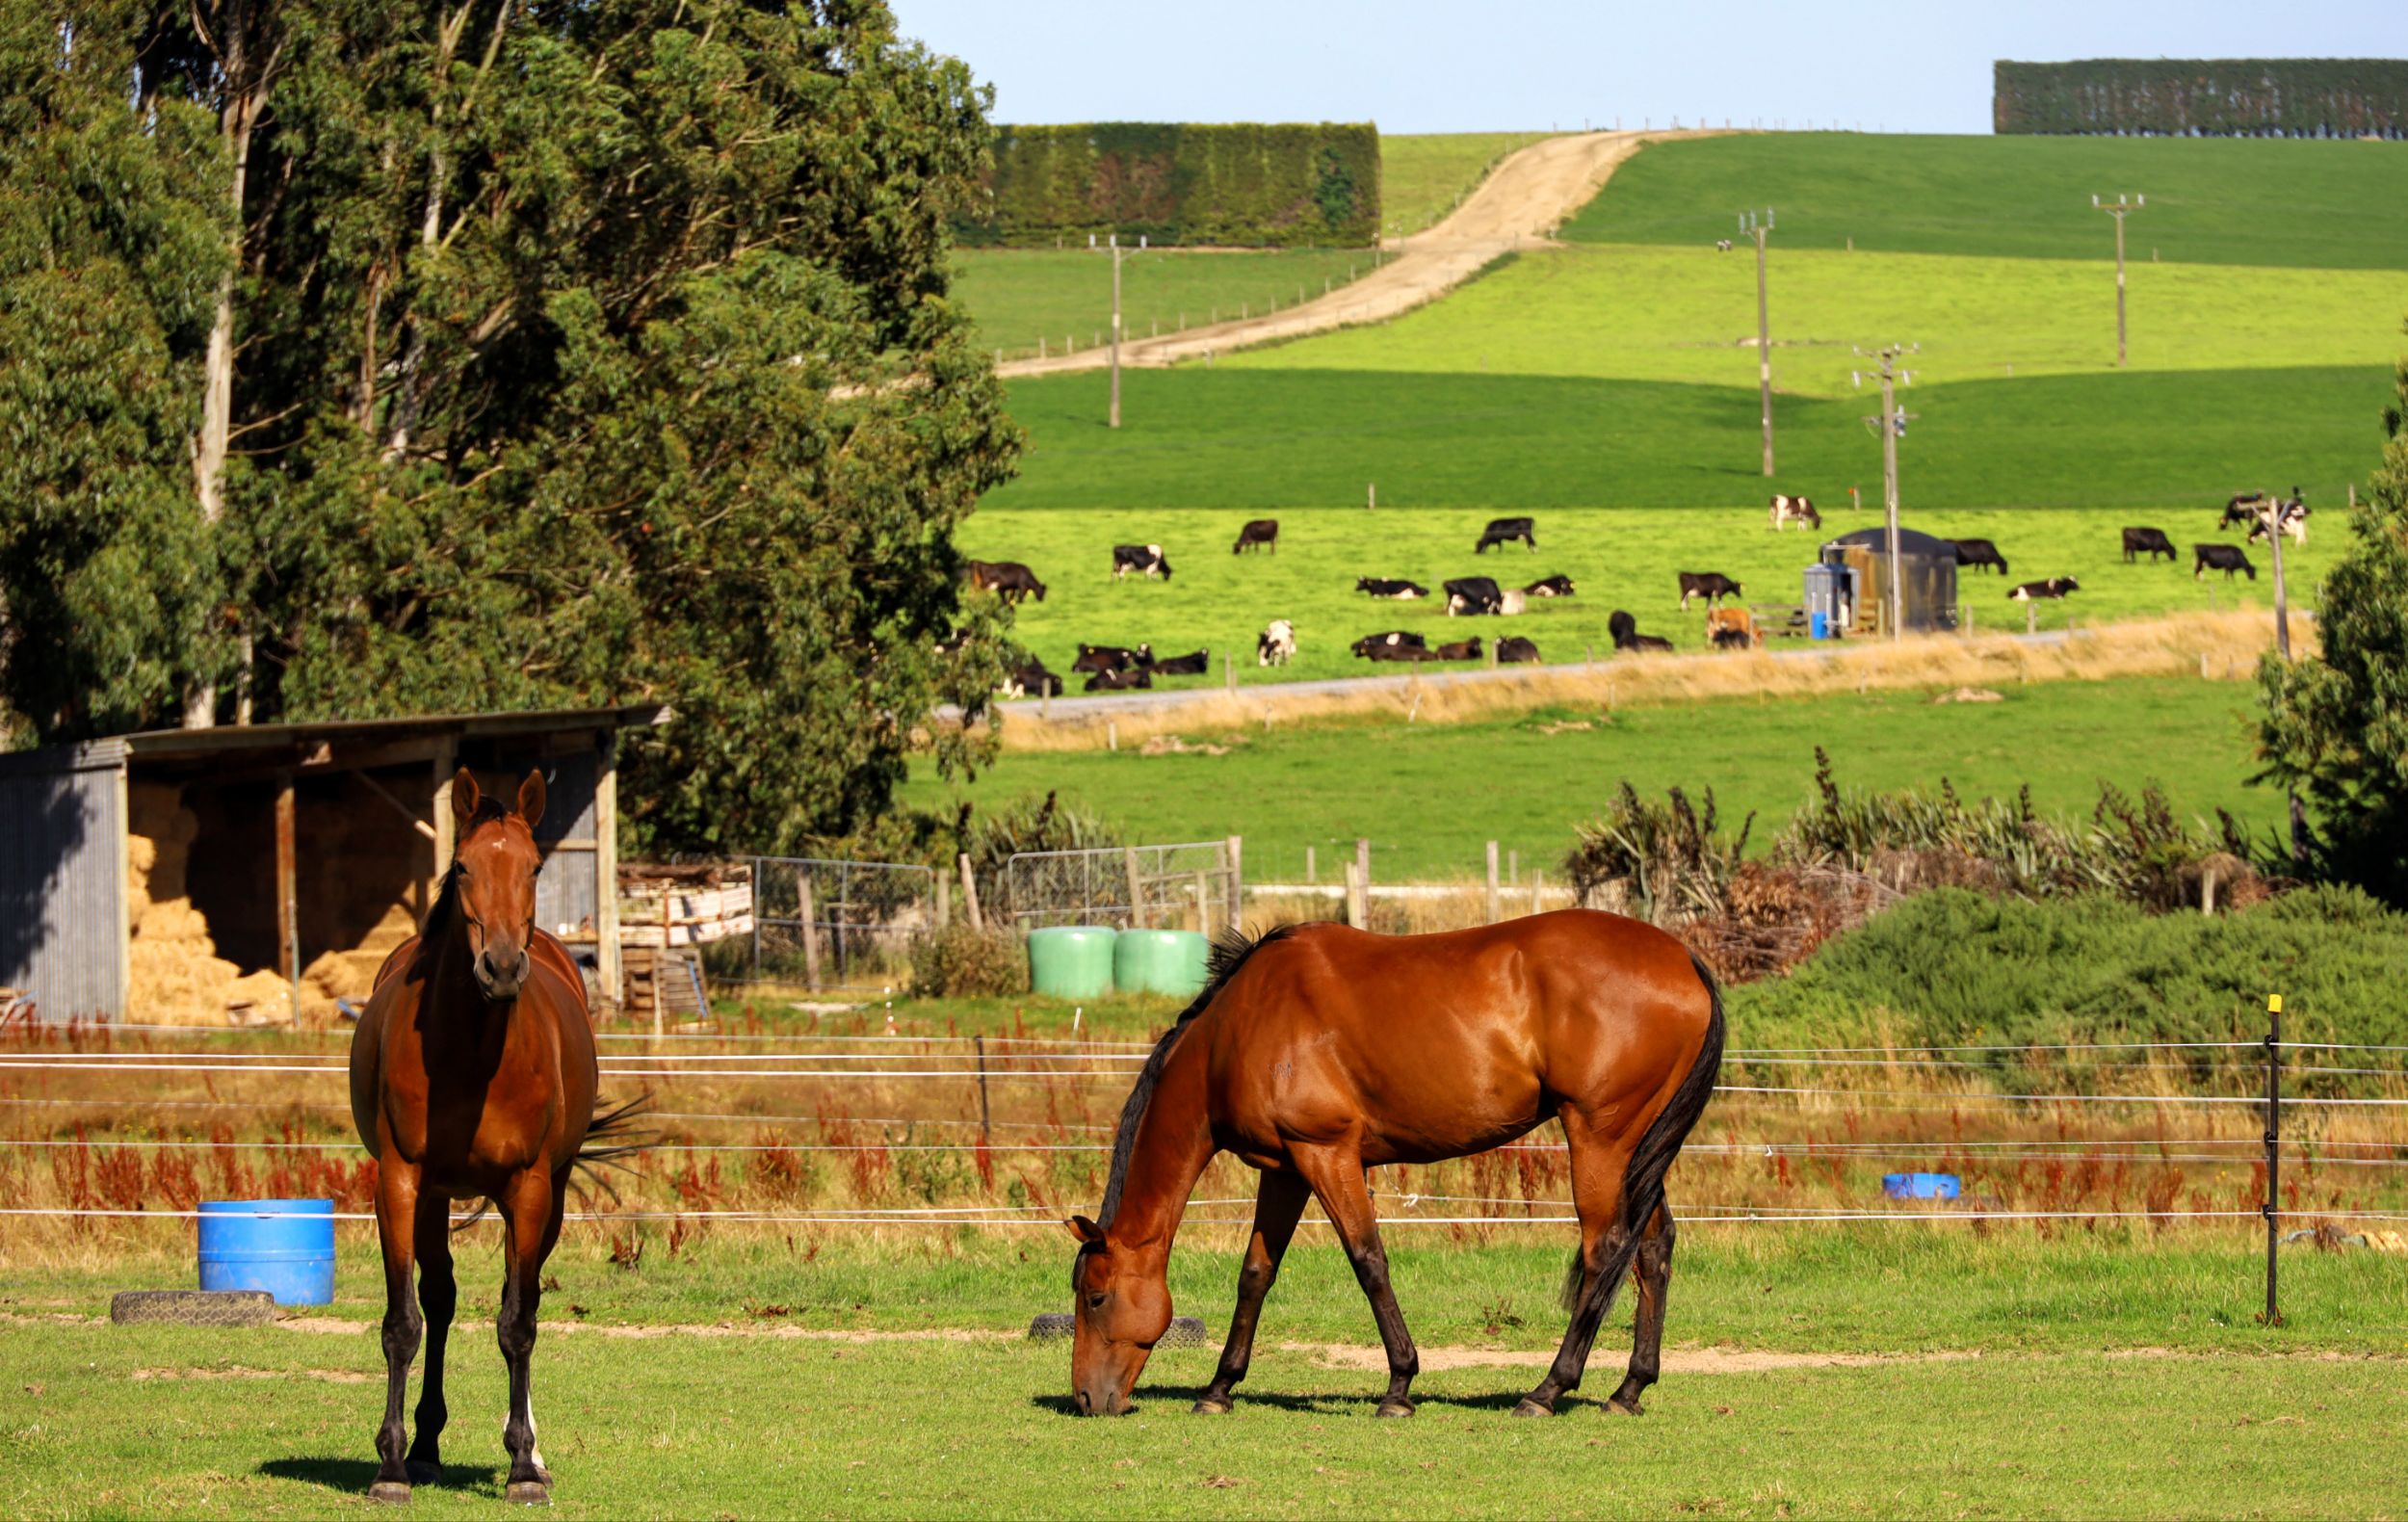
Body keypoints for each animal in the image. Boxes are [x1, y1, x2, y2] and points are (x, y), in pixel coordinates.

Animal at [352, 766, 636, 1503]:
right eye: (462, 866)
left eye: (535, 866)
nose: (502, 968)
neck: (470, 1054)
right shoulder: (401, 1183)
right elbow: (404, 1322)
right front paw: (391, 1465)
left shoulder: (529, 1189)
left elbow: (518, 1323)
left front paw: (523, 1468)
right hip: (434, 1199)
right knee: (441, 1300)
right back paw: (424, 1447)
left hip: (547, 1199)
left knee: (521, 1295)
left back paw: (529, 1448)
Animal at [1064, 915, 1724, 1426]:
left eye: (1095, 1297)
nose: (1088, 1399)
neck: (1237, 1029)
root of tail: (1683, 958)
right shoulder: (1285, 1170)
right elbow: (1256, 1274)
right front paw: (1219, 1389)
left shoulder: (1326, 1153)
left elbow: (1369, 1262)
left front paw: (1400, 1387)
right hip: (1638, 1149)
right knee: (1653, 1247)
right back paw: (1629, 1389)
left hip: (1599, 1140)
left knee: (1604, 1249)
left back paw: (1547, 1390)